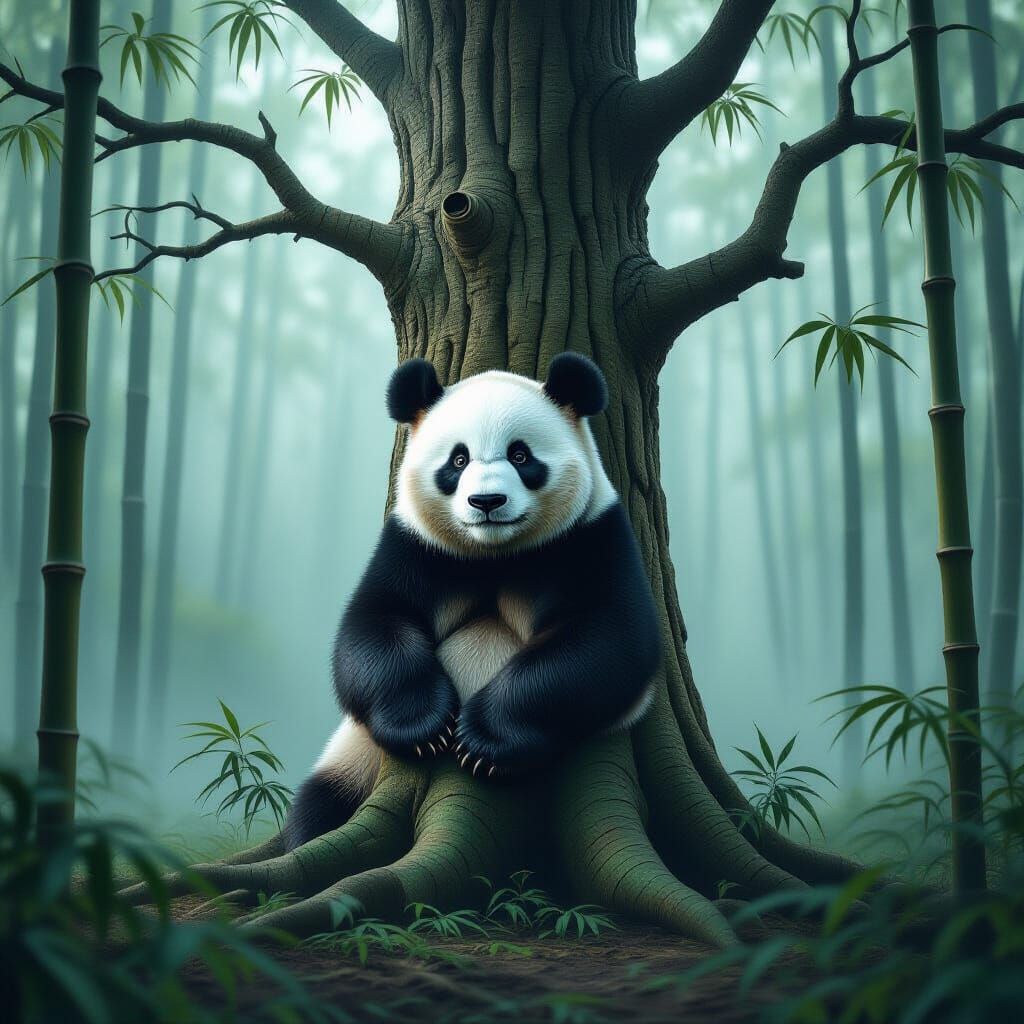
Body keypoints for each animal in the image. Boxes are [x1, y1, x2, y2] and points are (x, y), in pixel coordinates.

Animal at [284, 353, 661, 850]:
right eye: (458, 460)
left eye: (521, 455)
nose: (486, 501)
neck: (494, 554)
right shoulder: (416, 547)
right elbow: (374, 625)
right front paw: (424, 727)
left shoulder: (589, 538)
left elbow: (609, 641)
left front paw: (484, 742)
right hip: (354, 757)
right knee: (319, 806)